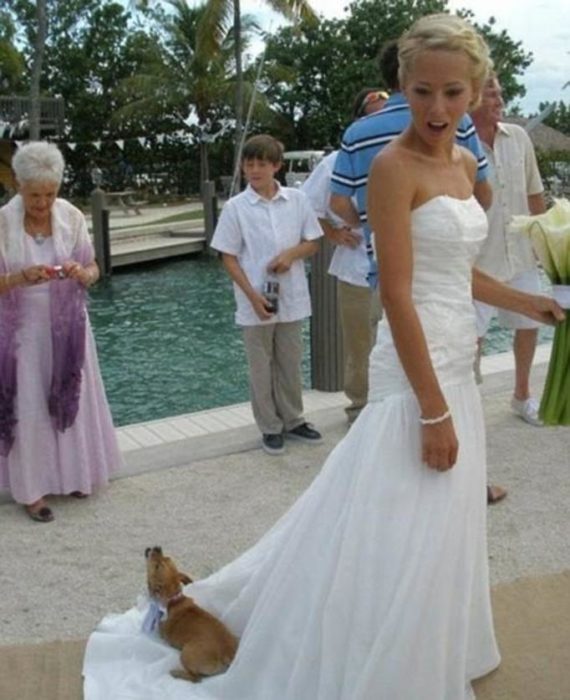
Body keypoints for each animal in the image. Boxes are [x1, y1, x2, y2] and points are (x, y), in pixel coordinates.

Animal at [144, 544, 240, 680]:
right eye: (167, 557)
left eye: (157, 566)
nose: (158, 547)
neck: (174, 600)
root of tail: (228, 654)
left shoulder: (162, 631)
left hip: (186, 653)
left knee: (195, 678)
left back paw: (176, 673)